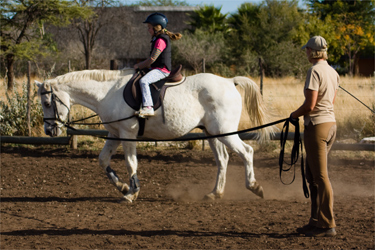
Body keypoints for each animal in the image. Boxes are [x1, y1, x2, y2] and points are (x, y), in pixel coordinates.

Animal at [36, 68, 276, 203]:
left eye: (47, 103)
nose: (49, 131)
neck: (107, 93)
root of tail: (228, 81)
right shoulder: (114, 133)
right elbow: (103, 160)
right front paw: (123, 187)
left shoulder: (127, 134)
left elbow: (131, 163)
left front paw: (132, 193)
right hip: (212, 134)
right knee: (223, 160)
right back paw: (214, 194)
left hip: (225, 132)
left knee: (247, 152)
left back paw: (254, 187)